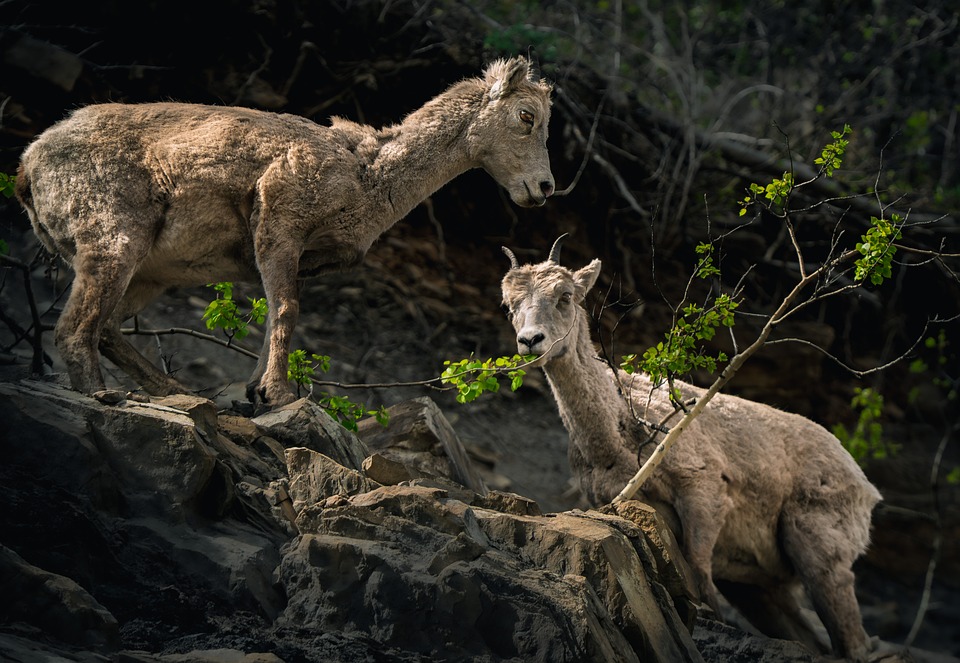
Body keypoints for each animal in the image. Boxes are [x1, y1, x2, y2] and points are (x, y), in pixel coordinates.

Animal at [16, 56, 554, 406]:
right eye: (526, 117)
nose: (544, 187)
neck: (368, 176)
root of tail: (29, 163)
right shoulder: (280, 227)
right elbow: (287, 312)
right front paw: (275, 393)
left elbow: (277, 313)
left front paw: (252, 393)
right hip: (113, 243)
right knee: (74, 330)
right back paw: (104, 395)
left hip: (149, 275)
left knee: (106, 328)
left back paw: (175, 391)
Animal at [499, 236, 882, 662]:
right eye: (510, 304)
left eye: (565, 296)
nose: (531, 341)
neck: (614, 437)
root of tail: (866, 489)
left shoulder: (704, 492)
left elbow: (700, 580)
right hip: (758, 587)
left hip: (820, 555)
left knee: (853, 643)